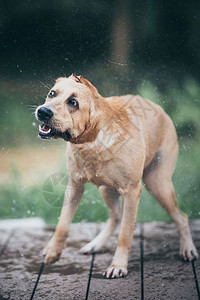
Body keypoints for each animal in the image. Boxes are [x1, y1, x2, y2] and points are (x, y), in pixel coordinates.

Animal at [35, 74, 198, 278]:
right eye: (52, 94)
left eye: (73, 102)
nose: (43, 112)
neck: (91, 142)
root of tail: (158, 107)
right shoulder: (74, 185)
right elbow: (63, 223)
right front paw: (52, 251)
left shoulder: (132, 192)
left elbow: (125, 235)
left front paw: (118, 265)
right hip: (107, 189)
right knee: (117, 216)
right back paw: (95, 244)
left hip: (158, 184)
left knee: (181, 217)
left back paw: (188, 249)